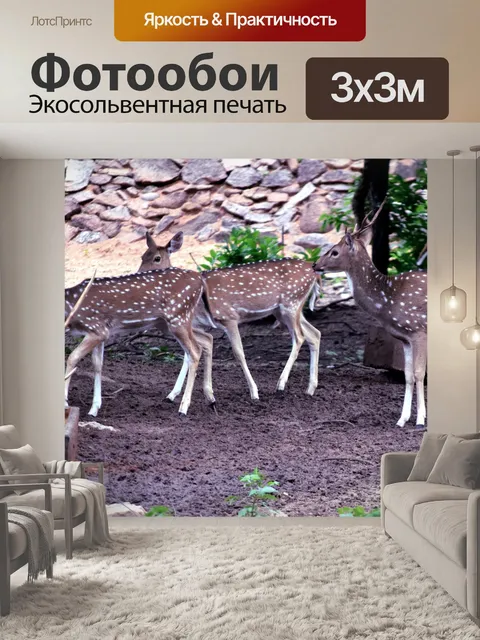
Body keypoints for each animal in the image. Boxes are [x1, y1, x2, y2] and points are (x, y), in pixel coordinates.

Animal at [64, 261, 216, 417]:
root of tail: (200, 278)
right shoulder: (101, 331)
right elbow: (97, 364)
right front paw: (94, 409)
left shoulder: (97, 329)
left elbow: (72, 357)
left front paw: (66, 402)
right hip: (167, 324)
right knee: (207, 338)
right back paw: (208, 398)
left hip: (178, 317)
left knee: (195, 351)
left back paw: (183, 408)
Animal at [140, 242, 322, 401]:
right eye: (143, 255)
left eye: (157, 258)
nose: (139, 273)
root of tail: (314, 271)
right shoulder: (193, 324)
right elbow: (187, 355)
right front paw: (171, 395)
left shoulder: (228, 317)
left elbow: (238, 352)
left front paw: (254, 392)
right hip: (285, 311)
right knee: (314, 333)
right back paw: (310, 388)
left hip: (291, 304)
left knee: (300, 337)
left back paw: (281, 384)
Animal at [313, 207, 427, 429]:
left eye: (334, 252)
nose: (315, 264)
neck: (387, 300)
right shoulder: (405, 338)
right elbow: (408, 375)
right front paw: (402, 419)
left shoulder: (419, 330)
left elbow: (419, 373)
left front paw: (420, 420)